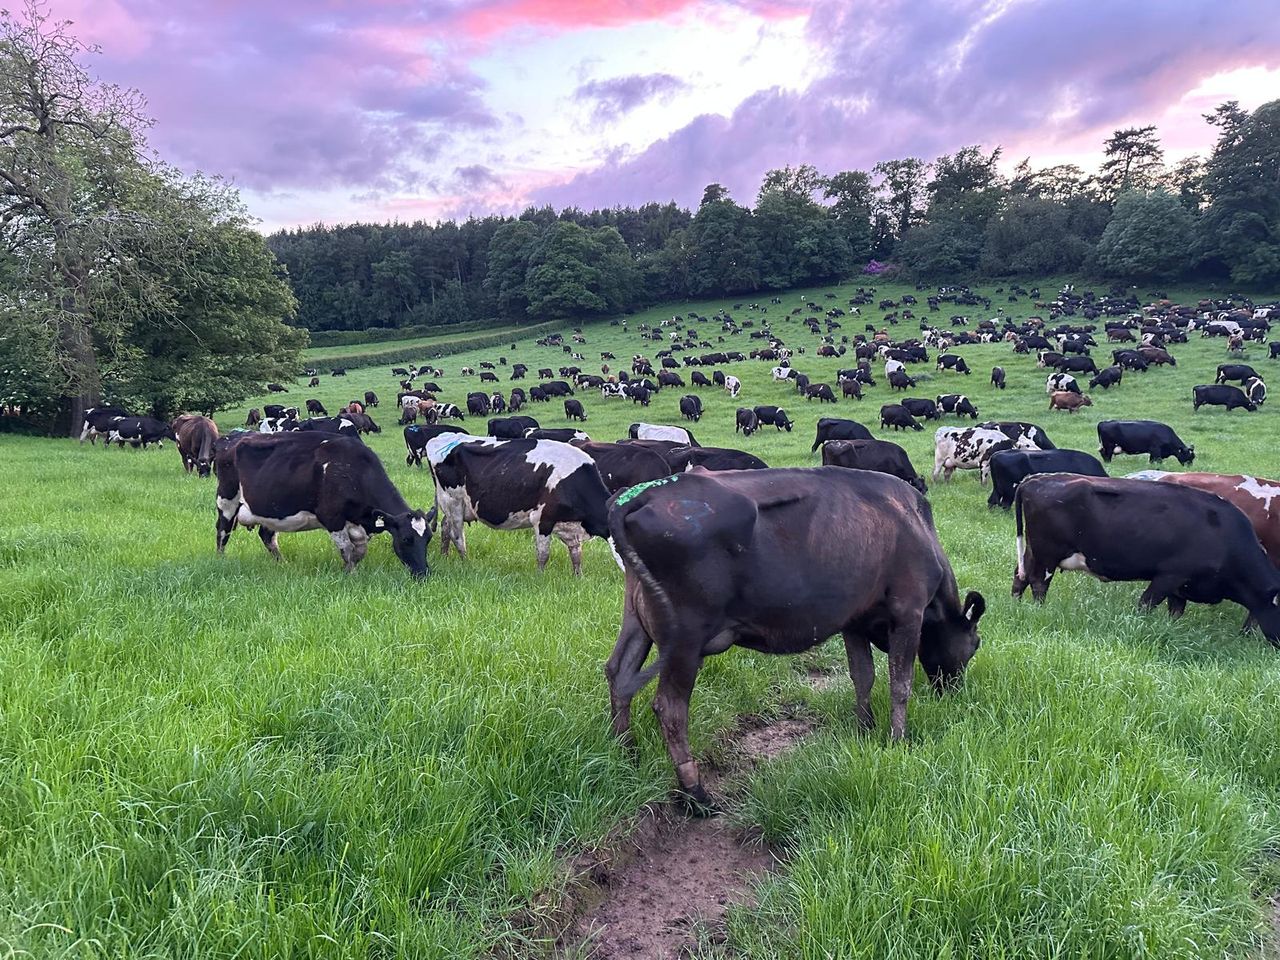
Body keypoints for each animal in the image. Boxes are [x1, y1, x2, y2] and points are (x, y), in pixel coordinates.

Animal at [215, 433, 431, 576]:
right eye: (406, 539)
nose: (424, 572)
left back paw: (283, 564)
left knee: (267, 536)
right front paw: (350, 575)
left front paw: (349, 570)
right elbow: (347, 550)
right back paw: (221, 560)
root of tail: (231, 438)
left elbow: (359, 552)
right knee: (223, 530)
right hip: (226, 499)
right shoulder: (332, 517)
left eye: (428, 538)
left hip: (269, 510)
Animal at [426, 435, 612, 575]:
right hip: (453, 501)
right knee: (457, 535)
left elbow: (576, 555)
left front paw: (578, 577)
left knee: (445, 526)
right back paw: (466, 562)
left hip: (455, 506)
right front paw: (540, 577)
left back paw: (444, 556)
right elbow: (543, 554)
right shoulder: (542, 519)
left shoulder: (570, 527)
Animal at [604, 467, 986, 808]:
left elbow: (862, 676)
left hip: (637, 616)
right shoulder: (908, 610)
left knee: (618, 673)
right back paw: (695, 794)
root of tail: (641, 495)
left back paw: (626, 753)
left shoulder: (854, 620)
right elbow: (900, 685)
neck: (917, 525)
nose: (954, 691)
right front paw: (897, 741)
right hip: (685, 638)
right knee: (669, 707)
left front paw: (864, 730)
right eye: (975, 645)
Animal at [1012, 475, 1280, 644]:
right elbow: (1146, 605)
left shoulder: (1180, 587)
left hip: (1032, 552)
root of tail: (1035, 479)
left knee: (1020, 577)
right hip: (1047, 554)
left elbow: (1175, 613)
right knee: (1038, 583)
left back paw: (1017, 607)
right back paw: (1040, 611)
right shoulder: (1169, 575)